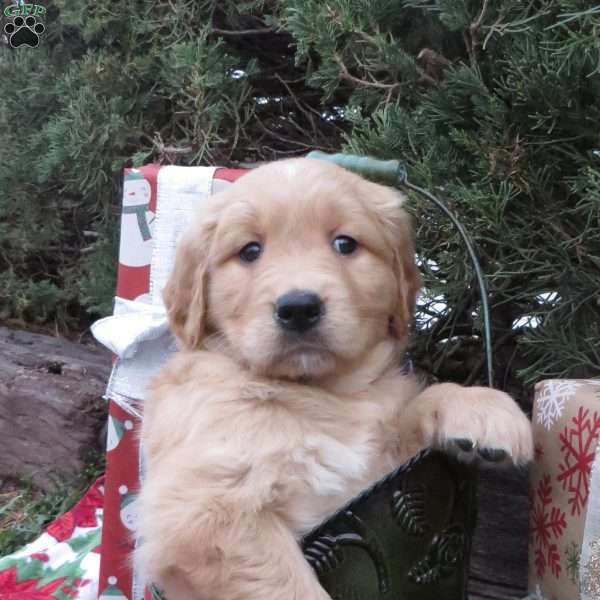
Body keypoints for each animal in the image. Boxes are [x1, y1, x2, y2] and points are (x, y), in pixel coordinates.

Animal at [135, 157, 528, 596]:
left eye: (345, 244)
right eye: (250, 251)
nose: (299, 308)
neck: (323, 395)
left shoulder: (383, 470)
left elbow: (420, 404)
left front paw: (482, 409)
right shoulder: (201, 512)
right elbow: (291, 585)